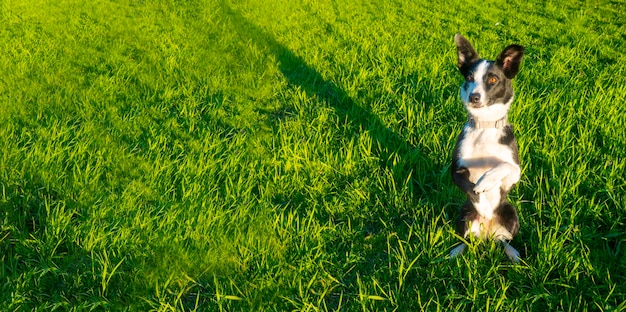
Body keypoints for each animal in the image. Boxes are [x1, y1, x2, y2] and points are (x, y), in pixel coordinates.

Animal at [446, 34, 524, 262]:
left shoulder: (514, 173)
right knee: (466, 240)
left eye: (493, 80)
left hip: (511, 212)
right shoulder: (455, 170)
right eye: (469, 77)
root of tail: (487, 234)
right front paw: (482, 202)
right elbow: (469, 188)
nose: (474, 97)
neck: (485, 126)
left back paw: (513, 254)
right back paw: (457, 250)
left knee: (505, 241)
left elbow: (505, 166)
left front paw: (486, 181)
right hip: (463, 214)